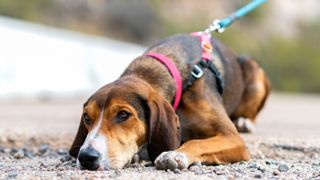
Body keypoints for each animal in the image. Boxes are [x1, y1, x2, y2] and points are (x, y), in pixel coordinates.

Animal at [69, 33, 270, 170]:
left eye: (123, 114)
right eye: (87, 117)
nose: (86, 157)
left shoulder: (232, 137)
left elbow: (198, 142)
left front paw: (176, 154)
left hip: (254, 69)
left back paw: (244, 122)